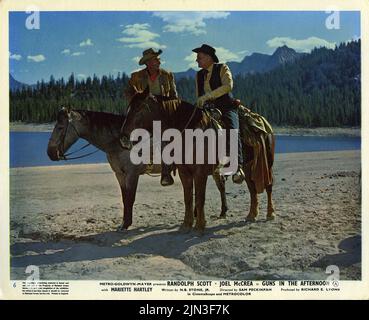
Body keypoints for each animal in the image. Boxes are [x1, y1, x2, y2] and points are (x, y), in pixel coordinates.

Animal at [46, 107, 227, 230]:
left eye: (60, 127)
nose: (50, 153)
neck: (119, 142)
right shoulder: (120, 175)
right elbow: (124, 198)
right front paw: (124, 223)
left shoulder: (132, 174)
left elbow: (130, 198)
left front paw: (126, 224)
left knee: (221, 186)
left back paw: (222, 212)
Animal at [121, 87, 276, 232]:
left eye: (139, 108)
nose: (123, 138)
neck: (191, 134)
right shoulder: (184, 172)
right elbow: (188, 198)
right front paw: (186, 224)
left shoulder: (200, 172)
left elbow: (200, 198)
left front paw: (200, 225)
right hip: (248, 166)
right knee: (252, 188)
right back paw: (251, 215)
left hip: (268, 162)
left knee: (268, 186)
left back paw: (270, 213)